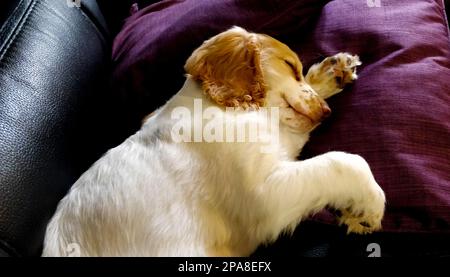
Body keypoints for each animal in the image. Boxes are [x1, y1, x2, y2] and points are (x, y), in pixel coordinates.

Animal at [43, 27, 386, 256]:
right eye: (290, 66)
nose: (327, 113)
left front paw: (332, 73)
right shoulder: (264, 195)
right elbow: (346, 162)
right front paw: (369, 207)